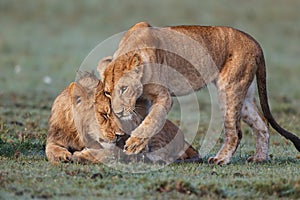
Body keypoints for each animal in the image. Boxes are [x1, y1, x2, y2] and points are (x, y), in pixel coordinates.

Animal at [45, 72, 199, 164]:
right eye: (104, 114)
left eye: (120, 115)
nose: (120, 134)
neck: (80, 135)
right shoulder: (55, 137)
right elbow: (50, 148)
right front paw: (61, 155)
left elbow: (105, 154)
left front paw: (80, 155)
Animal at [99, 22, 298, 166]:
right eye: (107, 93)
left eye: (124, 88)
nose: (118, 112)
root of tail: (256, 43)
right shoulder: (143, 101)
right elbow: (144, 121)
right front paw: (141, 150)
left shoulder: (164, 97)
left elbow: (152, 120)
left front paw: (134, 145)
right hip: (245, 95)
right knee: (262, 124)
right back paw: (259, 158)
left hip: (229, 88)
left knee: (235, 132)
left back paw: (220, 159)